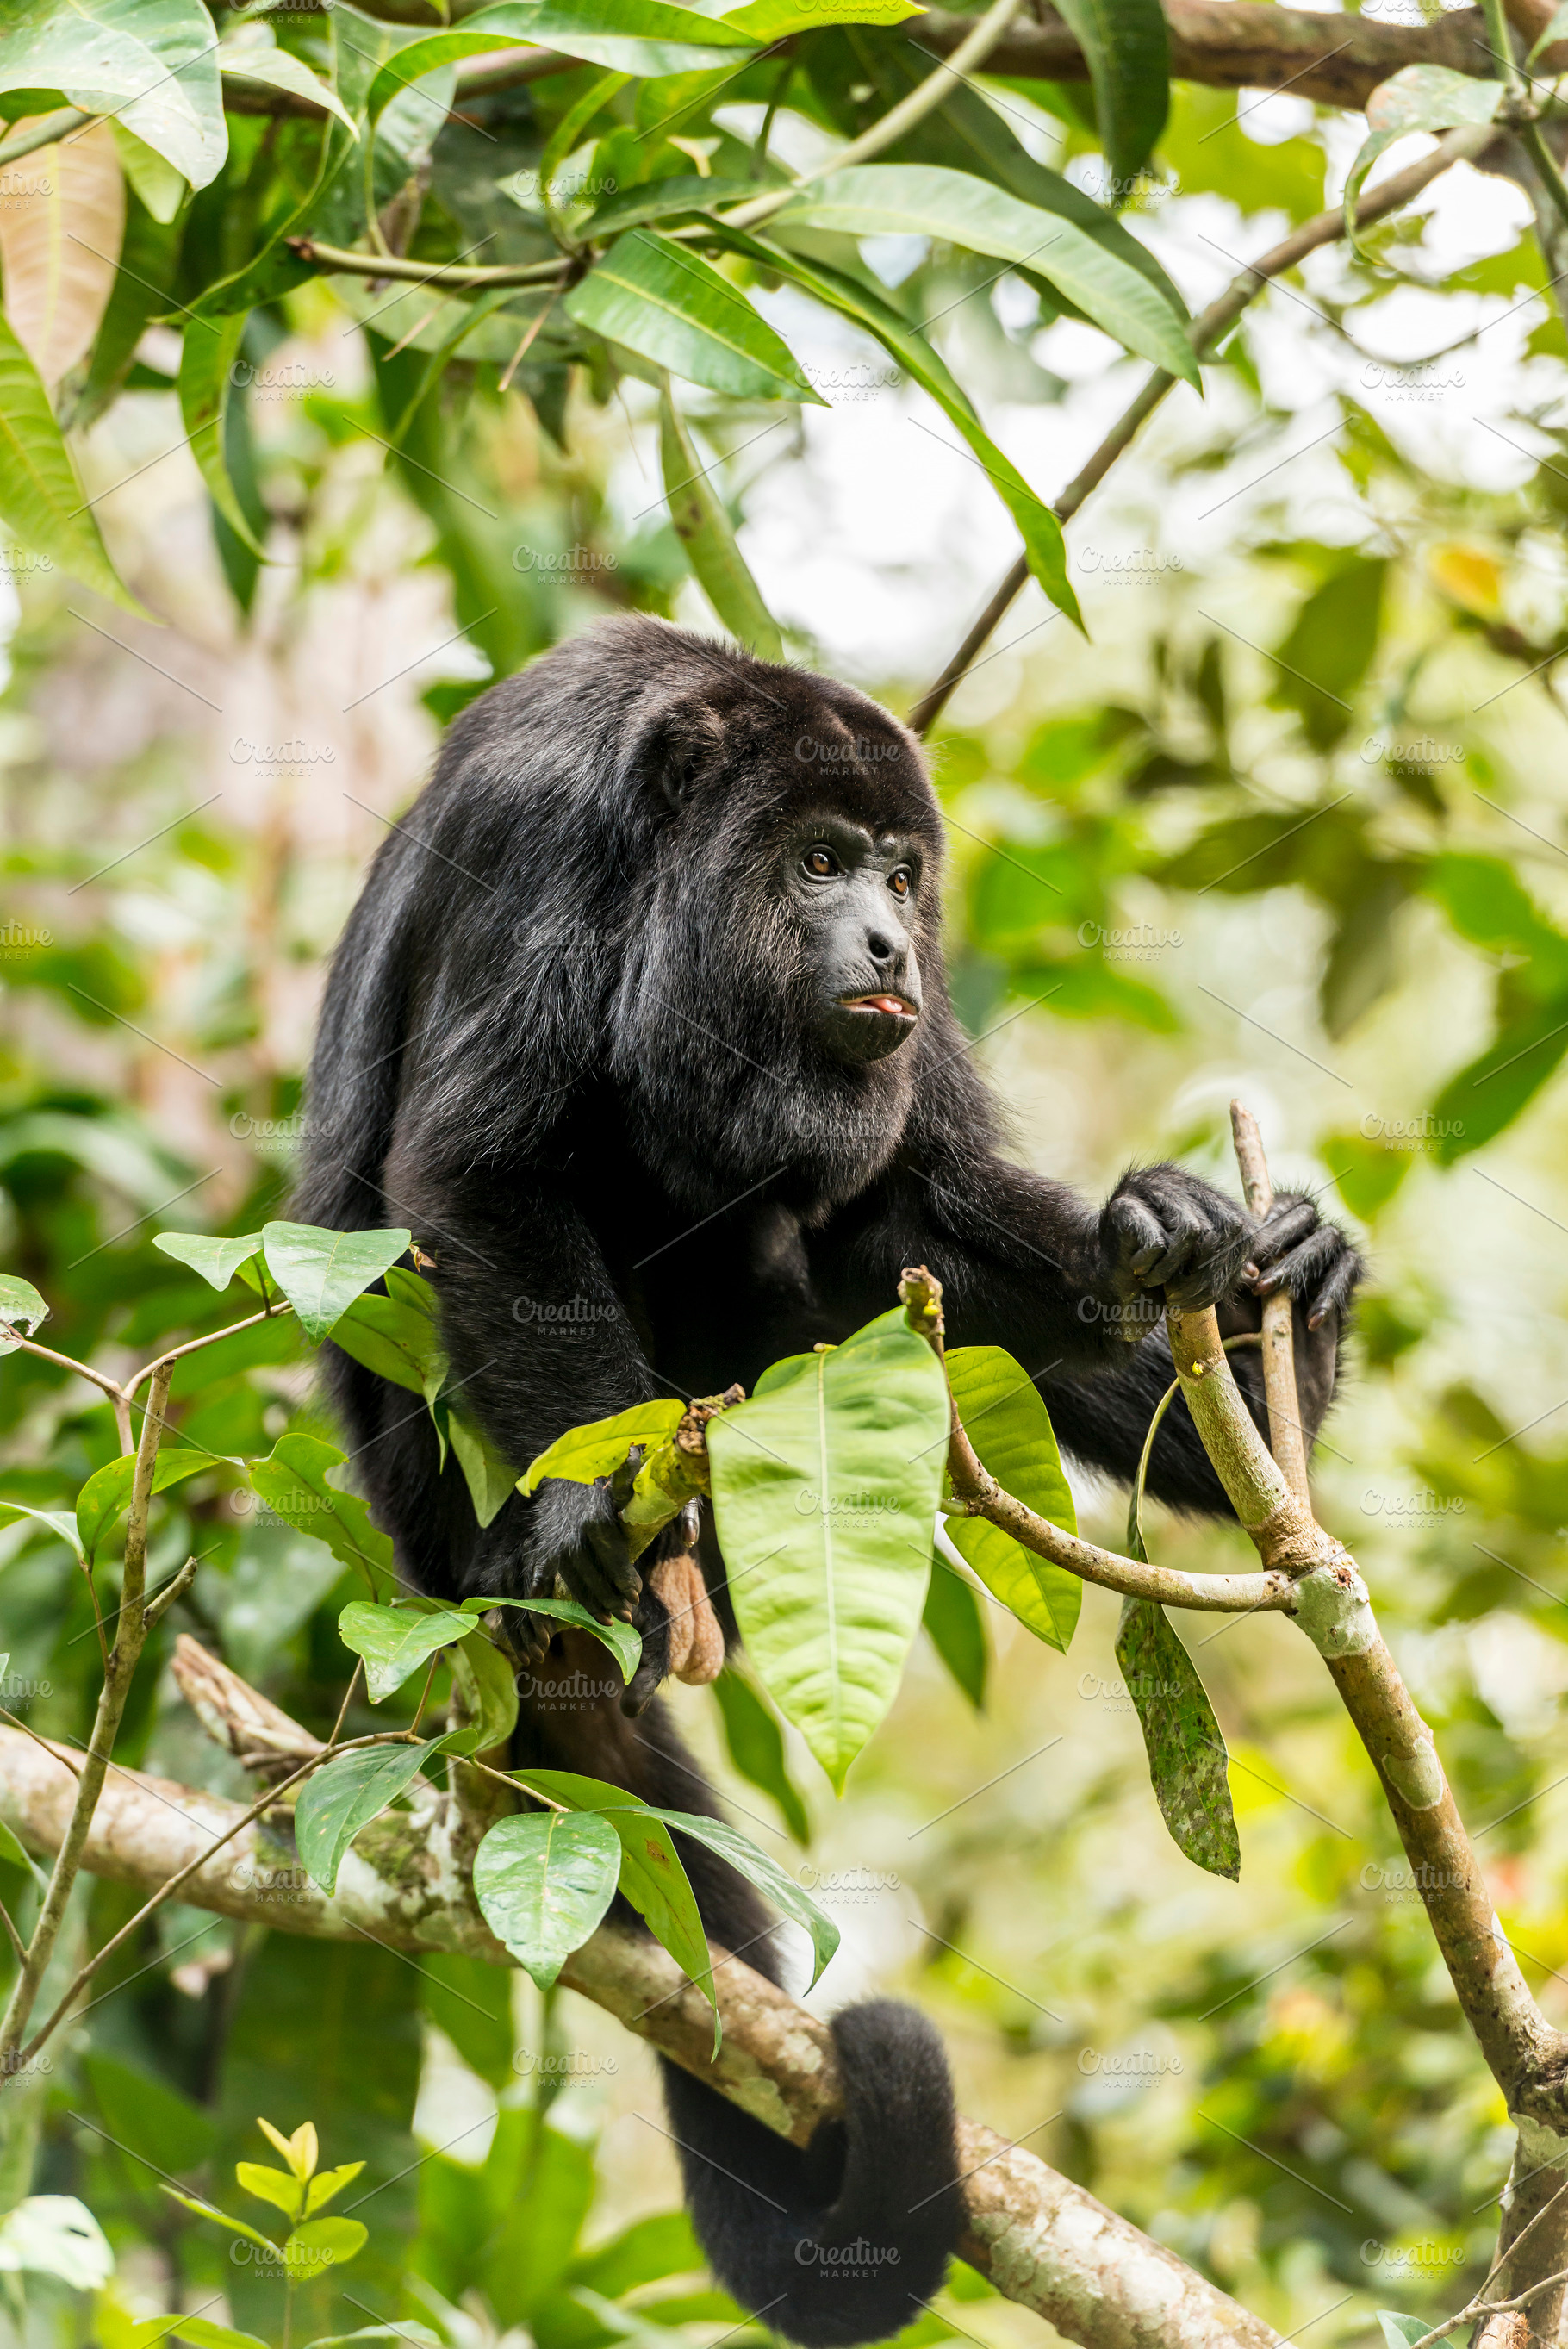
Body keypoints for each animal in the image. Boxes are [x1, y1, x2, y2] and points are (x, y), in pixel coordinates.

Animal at [295, 614, 1361, 2348]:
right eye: (812, 861)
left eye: (899, 875)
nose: (884, 941)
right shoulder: (536, 839)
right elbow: (485, 1171)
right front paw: (585, 1522)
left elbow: (931, 1182)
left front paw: (1186, 1235)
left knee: (863, 1220)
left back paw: (1271, 1357)